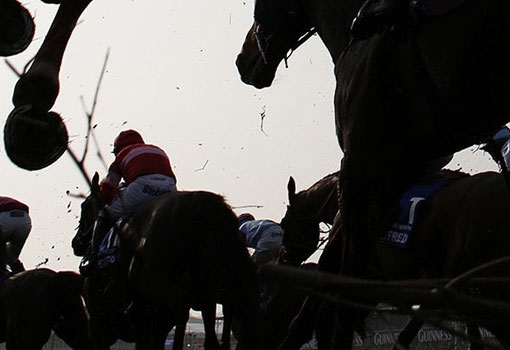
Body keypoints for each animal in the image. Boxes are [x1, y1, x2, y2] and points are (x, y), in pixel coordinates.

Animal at [71, 173, 258, 350]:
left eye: (84, 206)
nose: (76, 242)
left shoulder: (100, 322)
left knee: (184, 314)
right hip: (223, 287)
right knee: (224, 320)